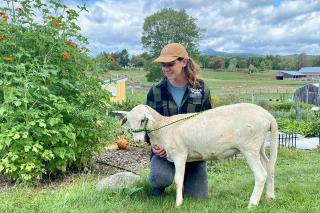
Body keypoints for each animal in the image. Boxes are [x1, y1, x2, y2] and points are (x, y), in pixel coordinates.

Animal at [121, 103, 278, 208]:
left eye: (143, 120)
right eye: (129, 122)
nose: (138, 140)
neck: (163, 127)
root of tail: (267, 115)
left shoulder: (179, 154)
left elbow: (178, 180)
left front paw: (178, 204)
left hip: (249, 147)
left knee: (261, 174)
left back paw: (252, 204)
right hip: (259, 147)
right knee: (270, 169)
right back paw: (270, 197)